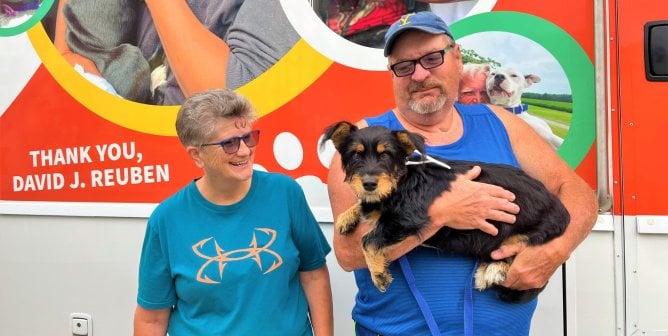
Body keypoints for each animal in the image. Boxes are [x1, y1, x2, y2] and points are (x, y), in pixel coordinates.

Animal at [324, 121, 568, 304]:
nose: (369, 184)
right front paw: (346, 217)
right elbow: (364, 207)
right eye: (356, 155)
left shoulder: (407, 219)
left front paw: (379, 275)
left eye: (386, 155)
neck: (402, 179)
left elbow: (368, 240)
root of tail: (562, 212)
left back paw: (492, 270)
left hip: (522, 232)